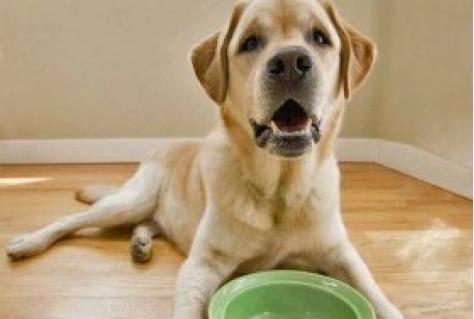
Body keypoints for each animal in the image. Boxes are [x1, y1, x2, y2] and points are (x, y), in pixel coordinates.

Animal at [5, 1, 404, 318]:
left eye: (320, 37)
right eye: (250, 42)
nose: (291, 61)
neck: (278, 190)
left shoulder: (340, 253)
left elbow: (379, 298)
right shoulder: (202, 265)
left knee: (148, 223)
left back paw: (141, 244)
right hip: (128, 201)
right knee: (72, 220)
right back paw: (28, 242)